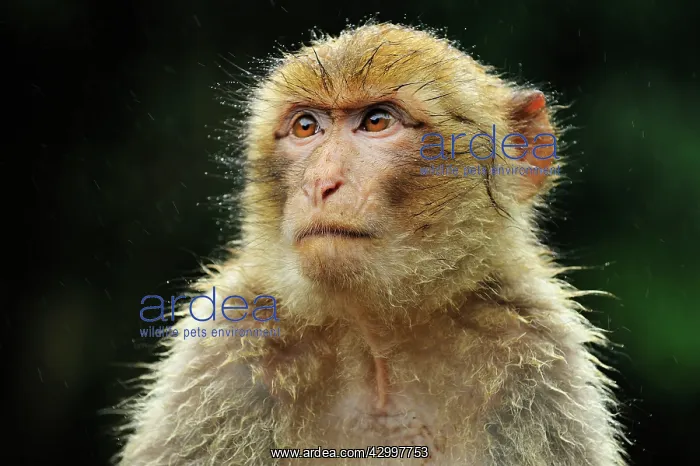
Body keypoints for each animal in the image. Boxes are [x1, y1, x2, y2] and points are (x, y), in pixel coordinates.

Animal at [115, 22, 628, 466]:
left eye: (377, 121)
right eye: (306, 127)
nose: (320, 183)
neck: (376, 341)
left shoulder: (536, 360)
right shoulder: (226, 352)